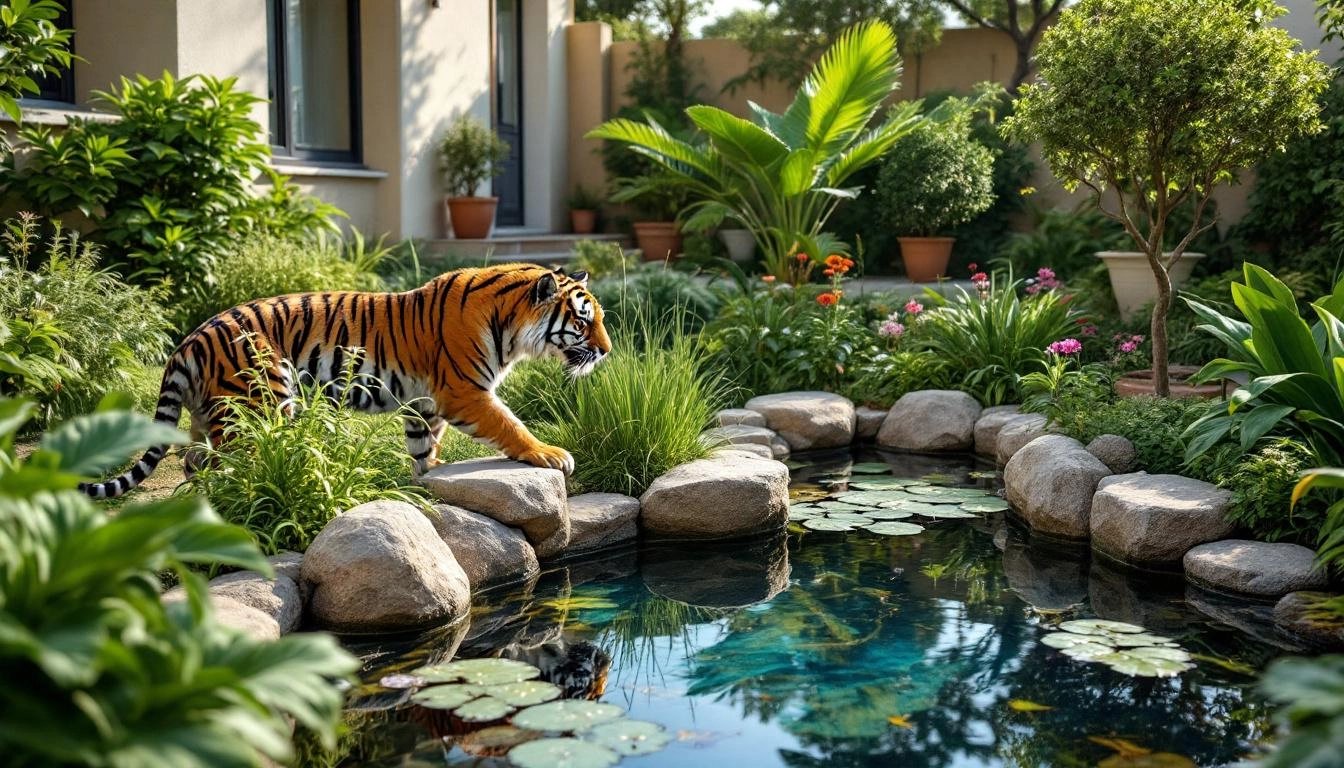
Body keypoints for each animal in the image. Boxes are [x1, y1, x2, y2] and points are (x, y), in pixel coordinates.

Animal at [81, 263, 611, 499]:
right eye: (584, 321)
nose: (607, 351)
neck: (511, 326)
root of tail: (189, 339)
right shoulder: (464, 392)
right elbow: (509, 423)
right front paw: (550, 454)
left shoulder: (426, 403)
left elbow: (425, 447)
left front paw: (427, 481)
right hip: (263, 405)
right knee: (233, 461)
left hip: (209, 414)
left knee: (193, 459)